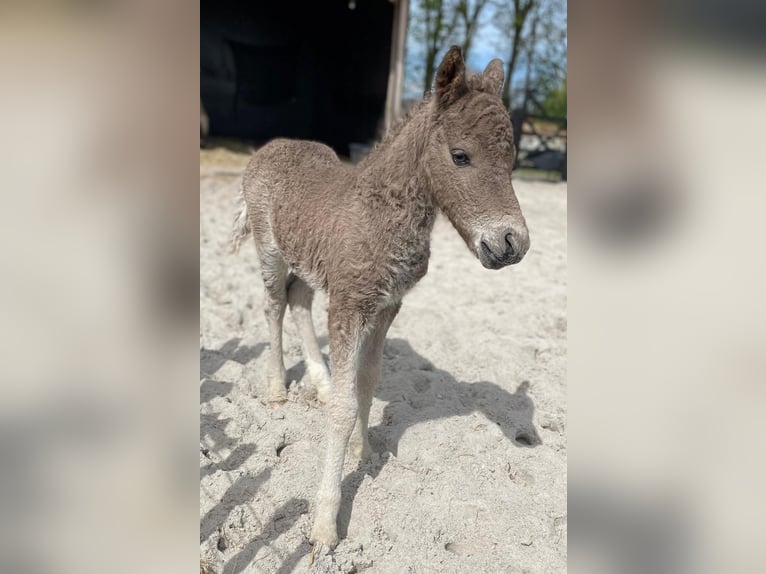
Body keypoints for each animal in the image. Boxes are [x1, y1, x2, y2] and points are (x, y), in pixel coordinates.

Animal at [231, 46, 532, 548]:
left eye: (512, 160)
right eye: (460, 156)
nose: (512, 244)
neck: (382, 210)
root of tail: (271, 147)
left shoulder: (387, 305)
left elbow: (366, 382)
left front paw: (365, 451)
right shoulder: (349, 306)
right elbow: (343, 406)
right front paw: (325, 524)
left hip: (310, 264)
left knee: (297, 299)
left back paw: (319, 379)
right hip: (271, 251)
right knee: (273, 304)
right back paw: (276, 389)